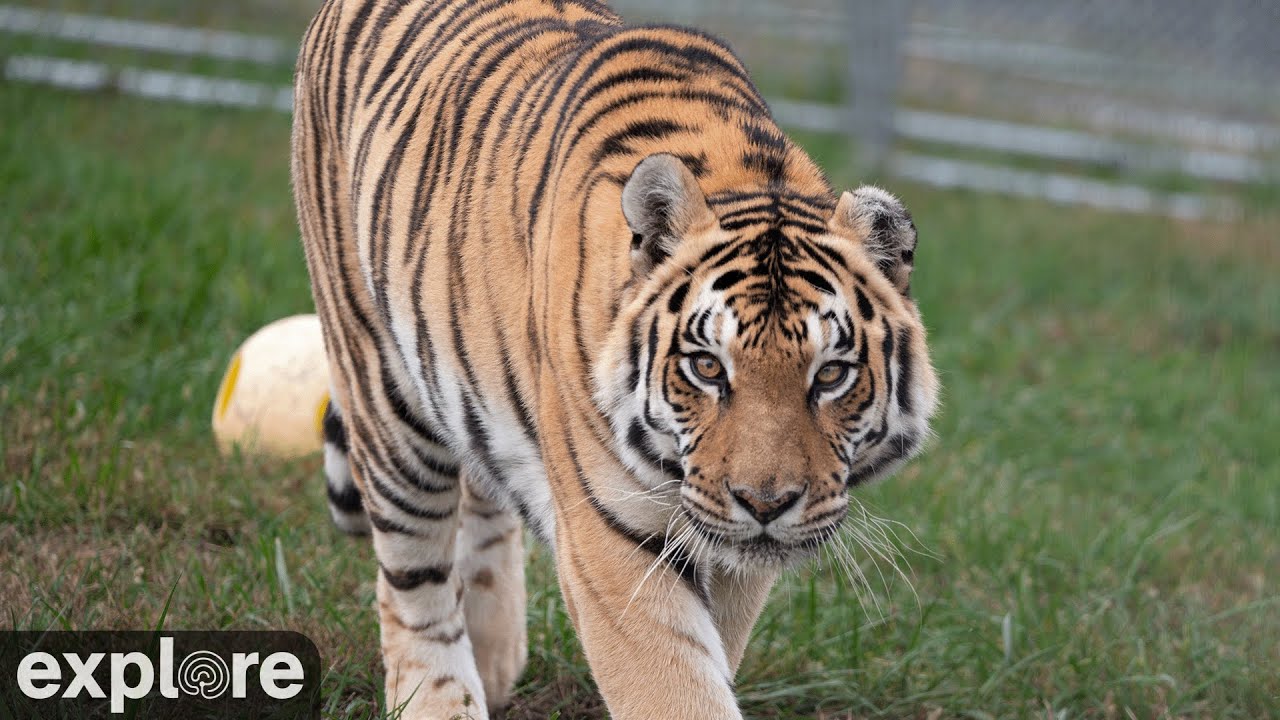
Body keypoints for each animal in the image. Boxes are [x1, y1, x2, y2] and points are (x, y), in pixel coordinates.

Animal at [290, 0, 939, 717]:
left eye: (830, 375)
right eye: (707, 367)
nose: (764, 504)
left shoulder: (727, 552)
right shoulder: (610, 537)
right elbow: (675, 685)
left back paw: (494, 655)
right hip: (382, 389)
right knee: (413, 578)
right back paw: (437, 699)